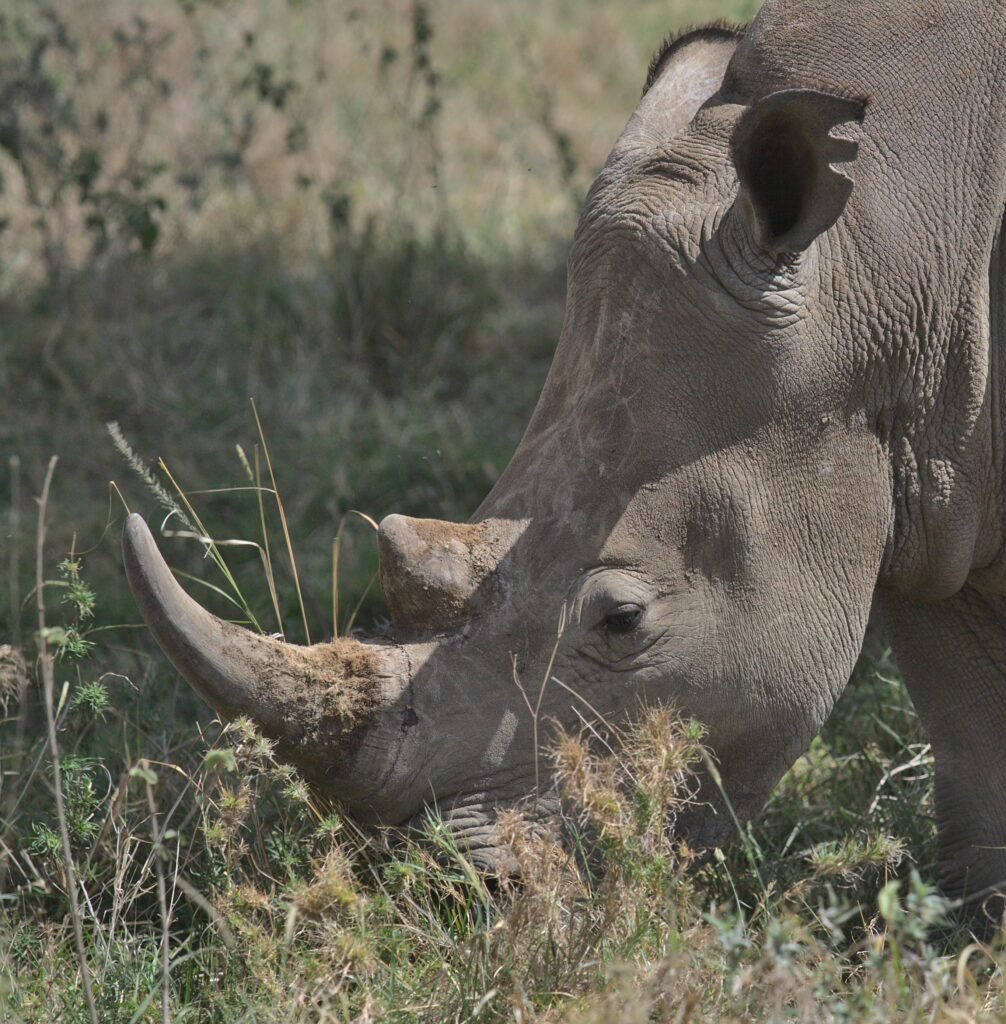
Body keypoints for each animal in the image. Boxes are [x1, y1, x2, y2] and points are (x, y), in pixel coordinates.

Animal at [124, 0, 1006, 917]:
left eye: (623, 621)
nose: (459, 890)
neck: (891, 245)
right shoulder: (926, 477)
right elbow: (971, 735)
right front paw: (977, 921)